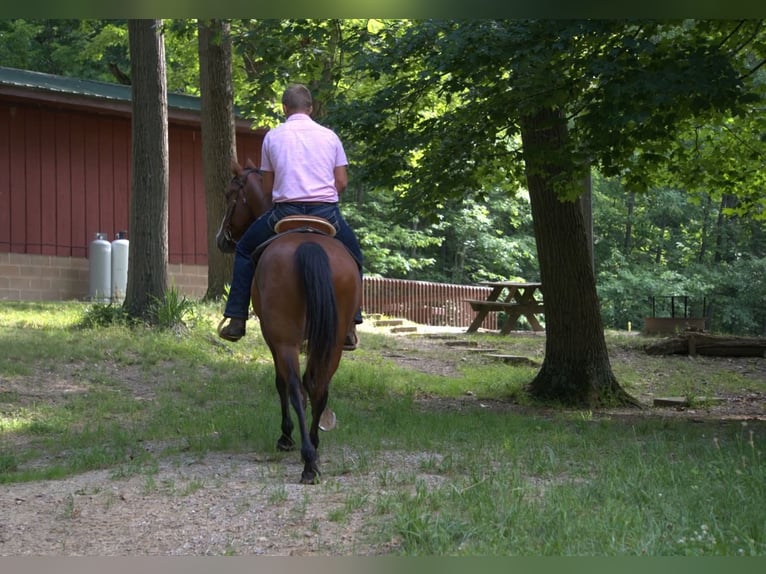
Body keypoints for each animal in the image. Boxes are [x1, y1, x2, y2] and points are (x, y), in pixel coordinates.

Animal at [215, 158, 361, 484]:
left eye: (230, 195)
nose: (222, 240)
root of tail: (308, 242)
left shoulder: (272, 337)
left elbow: (280, 382)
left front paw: (286, 436)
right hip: (333, 339)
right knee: (319, 384)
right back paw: (314, 448)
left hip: (284, 338)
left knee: (294, 385)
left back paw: (307, 459)